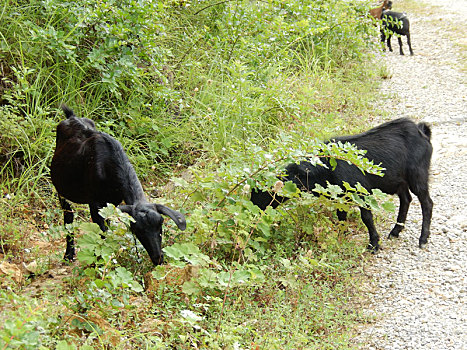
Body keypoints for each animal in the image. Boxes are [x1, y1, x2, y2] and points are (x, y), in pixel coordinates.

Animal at [48, 106, 186, 266]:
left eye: (160, 225)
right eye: (137, 230)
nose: (158, 259)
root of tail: (71, 117)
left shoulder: (111, 203)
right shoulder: (95, 203)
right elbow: (101, 231)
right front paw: (99, 261)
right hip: (61, 191)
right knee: (68, 218)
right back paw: (69, 255)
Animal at [252, 119, 436, 250]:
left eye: (262, 192)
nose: (255, 211)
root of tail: (422, 132)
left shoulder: (361, 191)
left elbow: (366, 217)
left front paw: (373, 244)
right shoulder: (340, 195)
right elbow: (341, 215)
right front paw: (341, 235)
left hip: (417, 175)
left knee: (427, 202)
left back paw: (423, 239)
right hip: (400, 180)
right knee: (406, 199)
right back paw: (395, 232)